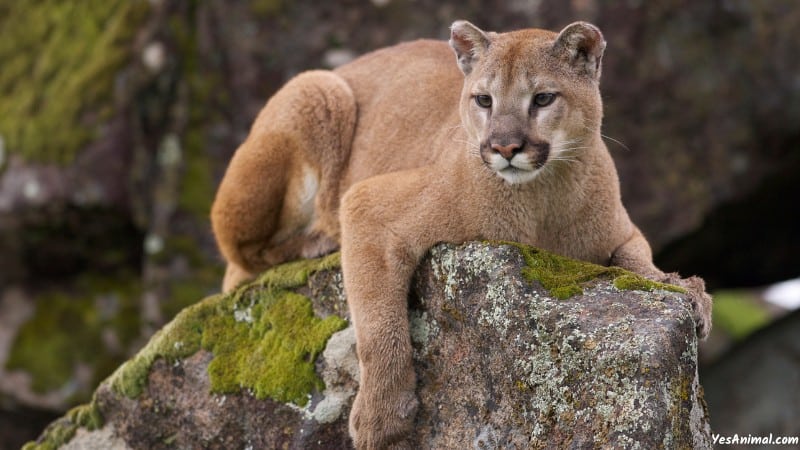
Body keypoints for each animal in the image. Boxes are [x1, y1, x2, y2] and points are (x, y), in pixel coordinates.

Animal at [211, 19, 712, 448]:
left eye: (543, 99)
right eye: (484, 100)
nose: (505, 147)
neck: (541, 200)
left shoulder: (621, 232)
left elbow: (638, 261)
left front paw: (684, 289)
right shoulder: (367, 205)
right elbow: (377, 324)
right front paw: (381, 416)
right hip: (316, 89)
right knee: (240, 259)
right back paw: (318, 240)